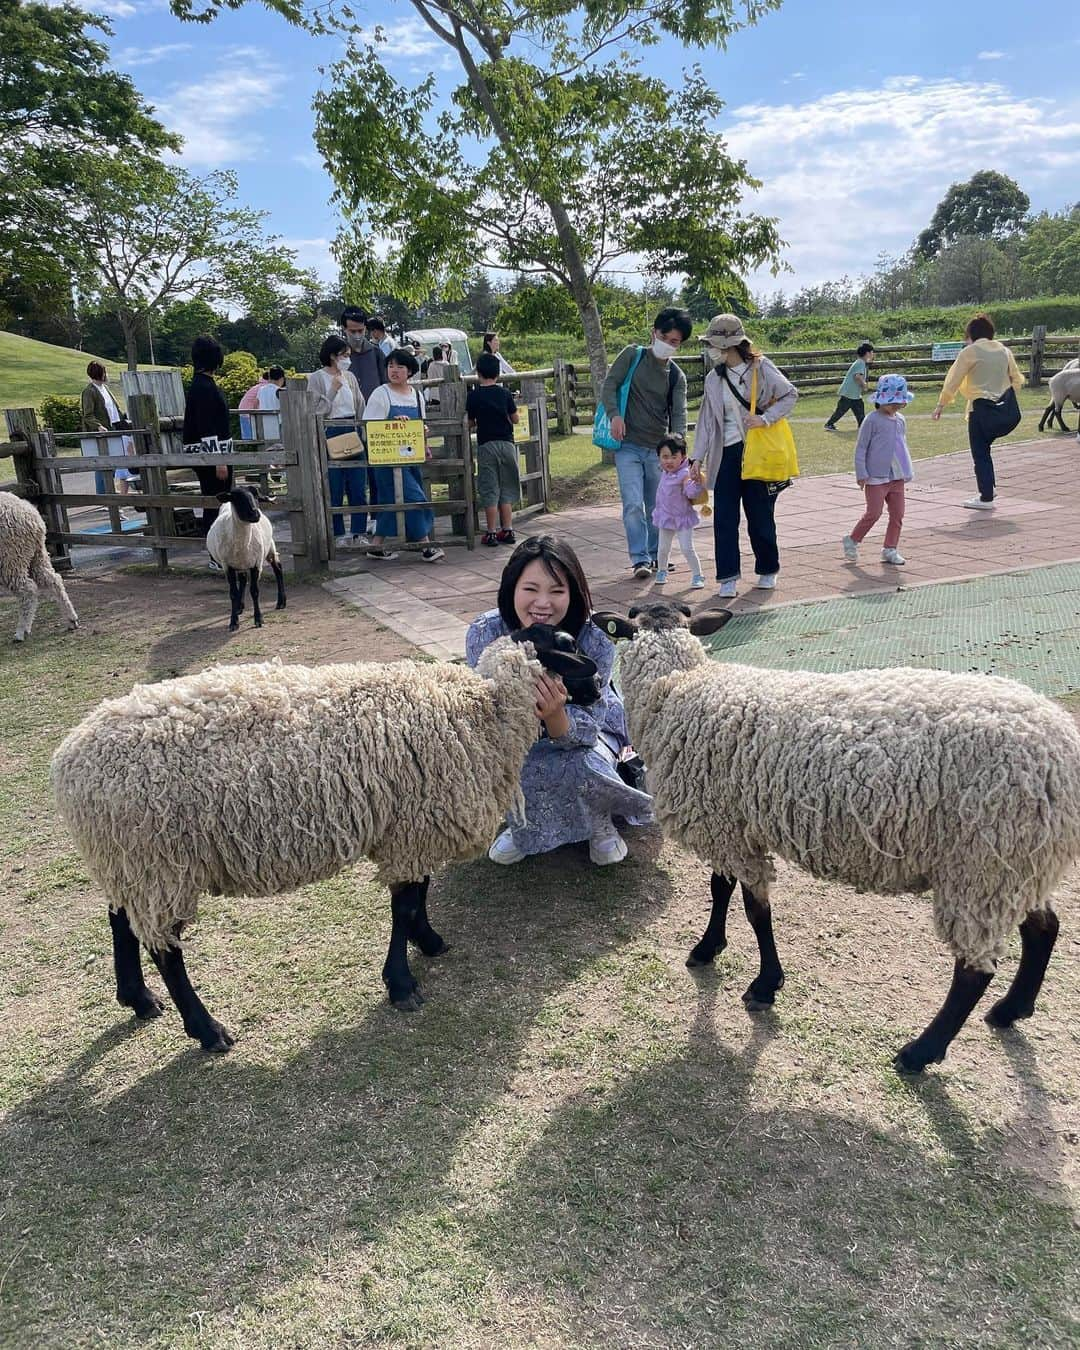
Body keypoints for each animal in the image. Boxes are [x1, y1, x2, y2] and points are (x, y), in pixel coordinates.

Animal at [0, 491, 77, 642]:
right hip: (36, 555)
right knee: (54, 580)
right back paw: (71, 620)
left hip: (11, 559)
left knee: (28, 590)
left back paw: (21, 632)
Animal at [50, 626, 599, 1047]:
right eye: (565, 646)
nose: (597, 681)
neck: (481, 709)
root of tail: (67, 762)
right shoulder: (412, 828)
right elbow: (404, 904)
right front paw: (402, 983)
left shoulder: (411, 827)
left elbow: (419, 894)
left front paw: (429, 941)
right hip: (158, 858)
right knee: (165, 949)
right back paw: (207, 1030)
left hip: (129, 859)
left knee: (122, 920)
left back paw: (138, 999)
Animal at [206, 486, 286, 631]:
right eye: (237, 498)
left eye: (256, 496)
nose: (255, 514)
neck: (243, 543)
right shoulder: (227, 566)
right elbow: (233, 593)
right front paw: (233, 622)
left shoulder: (256, 564)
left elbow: (254, 591)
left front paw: (258, 619)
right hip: (240, 563)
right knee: (243, 580)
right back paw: (239, 607)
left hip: (269, 547)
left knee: (278, 568)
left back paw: (281, 602)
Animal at [591, 602, 1080, 1074]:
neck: (680, 688)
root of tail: (1065, 749)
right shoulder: (730, 823)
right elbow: (721, 889)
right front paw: (710, 948)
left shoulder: (726, 827)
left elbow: (754, 910)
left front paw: (765, 984)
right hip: (1016, 862)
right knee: (1043, 927)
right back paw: (1011, 1010)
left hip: (983, 862)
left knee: (973, 970)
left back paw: (921, 1052)